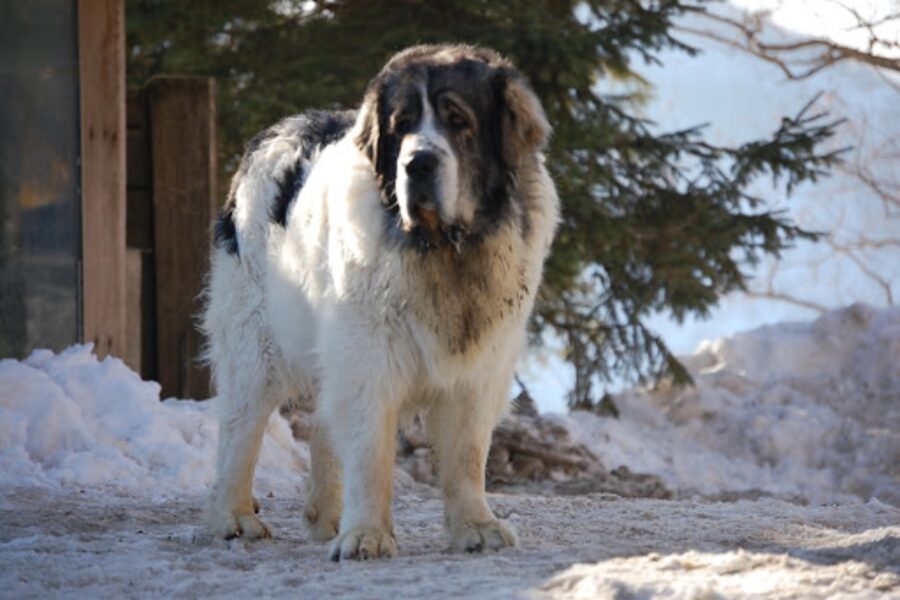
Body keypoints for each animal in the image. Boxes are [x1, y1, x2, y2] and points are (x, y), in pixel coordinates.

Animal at [200, 44, 560, 560]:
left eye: (458, 120)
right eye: (401, 124)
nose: (418, 164)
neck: (443, 250)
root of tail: (272, 132)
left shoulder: (480, 366)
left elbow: (468, 454)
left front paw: (476, 525)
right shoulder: (369, 356)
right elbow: (370, 450)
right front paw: (366, 535)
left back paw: (327, 517)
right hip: (255, 339)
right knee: (240, 426)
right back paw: (232, 517)